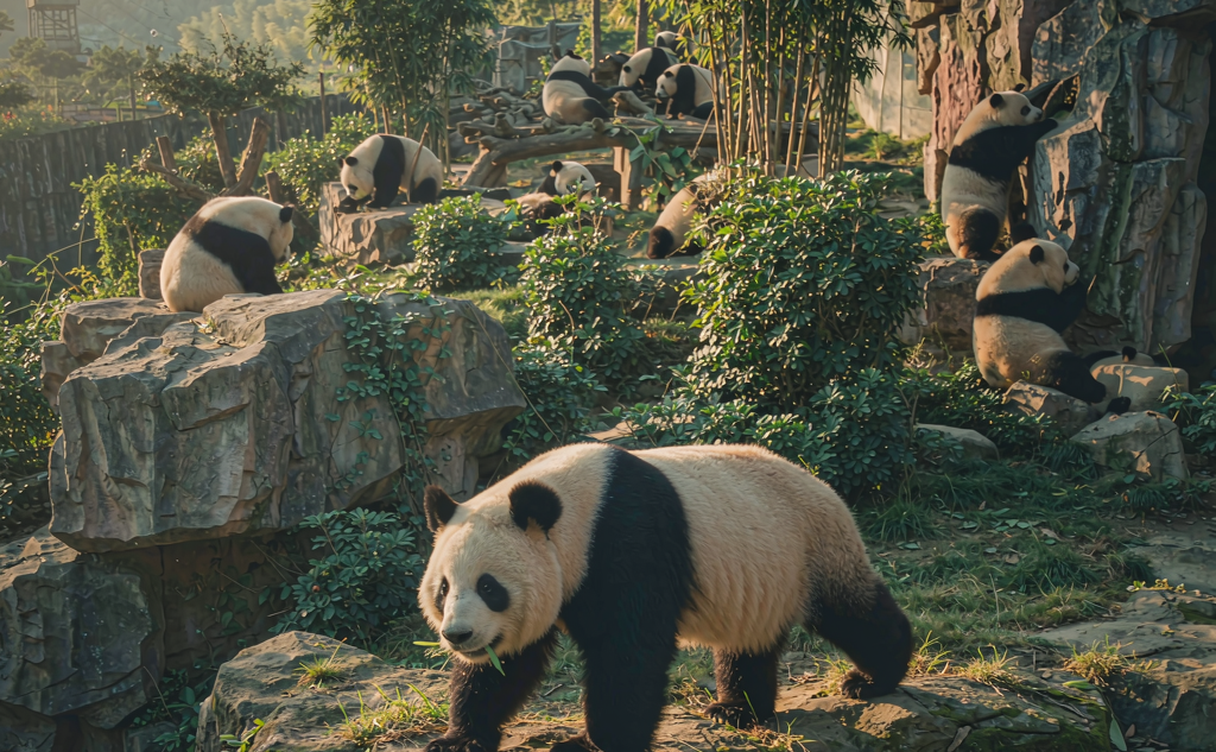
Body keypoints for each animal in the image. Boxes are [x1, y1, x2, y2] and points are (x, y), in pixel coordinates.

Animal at [419, 443, 912, 752]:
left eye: (489, 587)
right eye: (444, 588)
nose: (458, 636)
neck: (577, 509)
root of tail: (820, 483)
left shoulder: (626, 539)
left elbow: (629, 652)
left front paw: (594, 744)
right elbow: (507, 665)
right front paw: (459, 739)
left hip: (812, 548)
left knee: (852, 612)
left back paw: (872, 679)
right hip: (763, 574)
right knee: (750, 640)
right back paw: (737, 710)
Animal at [941, 85, 1059, 263]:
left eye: (1030, 103)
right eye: (1025, 109)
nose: (1039, 113)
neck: (986, 118)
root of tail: (956, 250)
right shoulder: (986, 143)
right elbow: (1015, 144)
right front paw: (1050, 122)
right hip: (968, 210)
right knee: (981, 223)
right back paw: (980, 253)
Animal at [973, 237, 1131, 412]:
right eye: (1065, 265)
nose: (1077, 271)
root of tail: (1004, 384)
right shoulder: (1028, 298)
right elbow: (1060, 313)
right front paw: (1082, 284)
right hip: (1033, 362)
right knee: (1066, 369)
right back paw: (1101, 392)